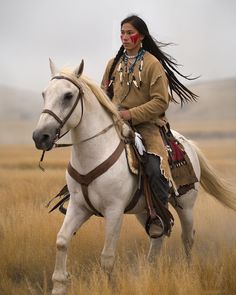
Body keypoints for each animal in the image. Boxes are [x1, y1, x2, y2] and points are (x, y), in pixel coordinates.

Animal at [32, 60, 236, 295]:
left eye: (67, 95)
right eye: (44, 94)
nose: (40, 136)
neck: (95, 153)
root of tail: (188, 143)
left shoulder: (114, 211)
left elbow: (107, 257)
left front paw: (109, 287)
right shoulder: (78, 206)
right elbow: (62, 241)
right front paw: (59, 286)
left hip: (186, 205)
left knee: (187, 237)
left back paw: (188, 271)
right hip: (145, 209)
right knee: (157, 236)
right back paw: (150, 270)